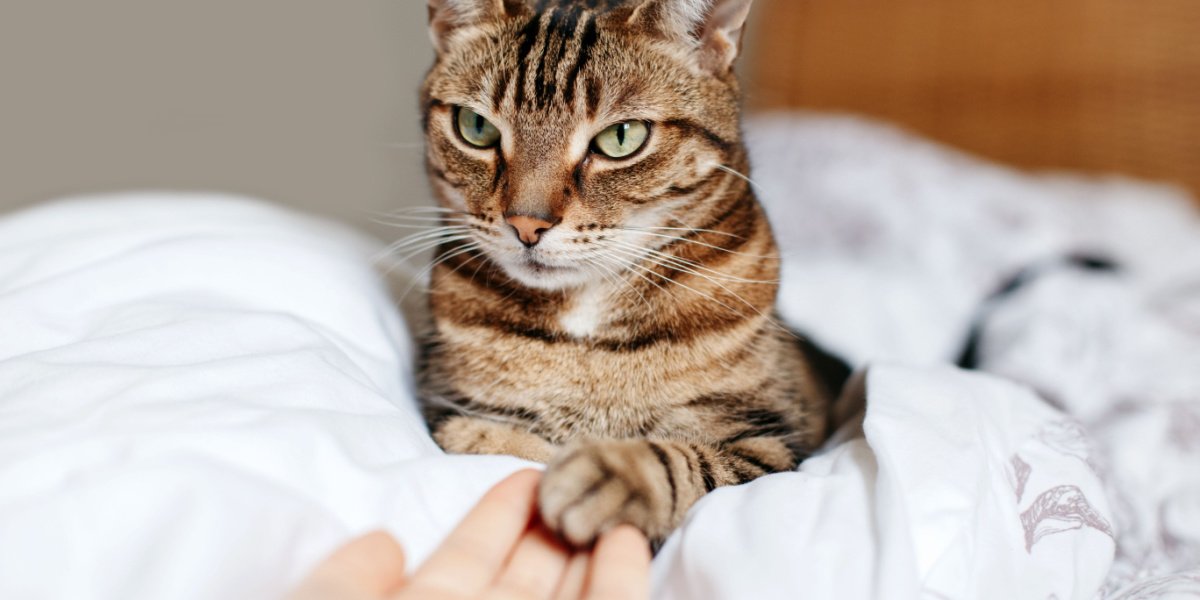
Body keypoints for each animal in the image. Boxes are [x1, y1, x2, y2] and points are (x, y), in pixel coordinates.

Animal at [422, 0, 844, 547]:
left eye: (620, 138)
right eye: (475, 127)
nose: (526, 224)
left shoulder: (771, 444)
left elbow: (689, 464)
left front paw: (610, 472)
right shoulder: (449, 407)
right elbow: (487, 439)